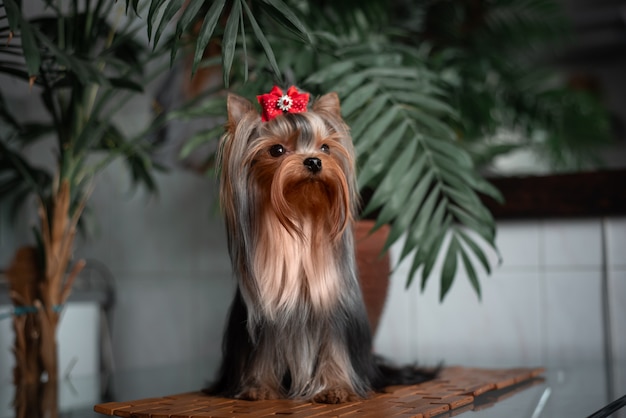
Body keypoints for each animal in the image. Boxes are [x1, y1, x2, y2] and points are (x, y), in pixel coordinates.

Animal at [210, 86, 434, 404]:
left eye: (325, 148)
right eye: (276, 150)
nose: (314, 161)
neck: (302, 216)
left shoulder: (332, 317)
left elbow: (334, 350)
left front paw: (335, 388)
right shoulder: (262, 322)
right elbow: (263, 353)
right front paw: (258, 387)